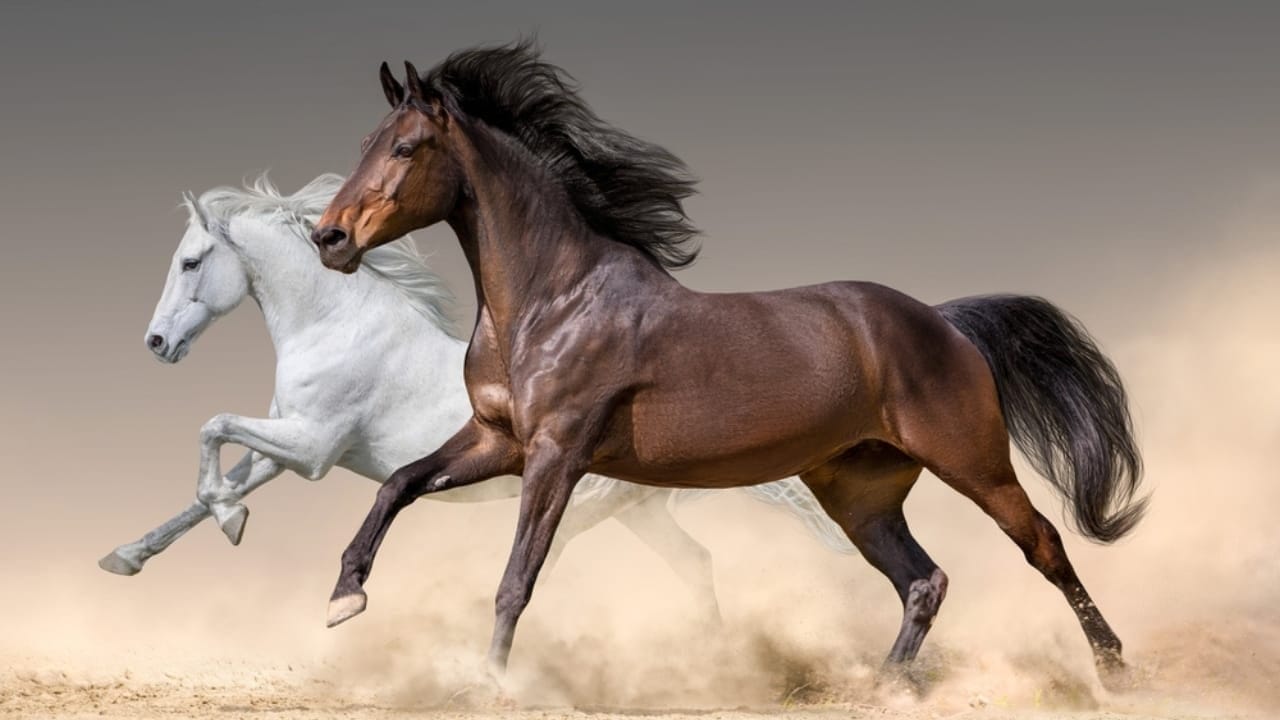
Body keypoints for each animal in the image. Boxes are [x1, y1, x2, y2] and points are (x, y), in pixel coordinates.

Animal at [99, 173, 854, 624]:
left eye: (190, 262)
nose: (157, 342)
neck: (336, 324)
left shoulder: (311, 448)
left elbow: (211, 427)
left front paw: (233, 520)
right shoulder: (284, 444)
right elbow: (202, 490)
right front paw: (130, 555)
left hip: (574, 502)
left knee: (553, 566)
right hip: (634, 513)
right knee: (694, 563)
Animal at [309, 42, 1146, 689]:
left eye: (406, 148)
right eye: (362, 144)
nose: (329, 238)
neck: (553, 300)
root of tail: (944, 322)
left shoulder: (555, 454)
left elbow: (516, 579)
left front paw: (491, 684)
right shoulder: (498, 441)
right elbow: (398, 484)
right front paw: (345, 597)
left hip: (972, 462)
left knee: (1044, 545)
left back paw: (1114, 670)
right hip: (860, 493)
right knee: (922, 580)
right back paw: (883, 685)